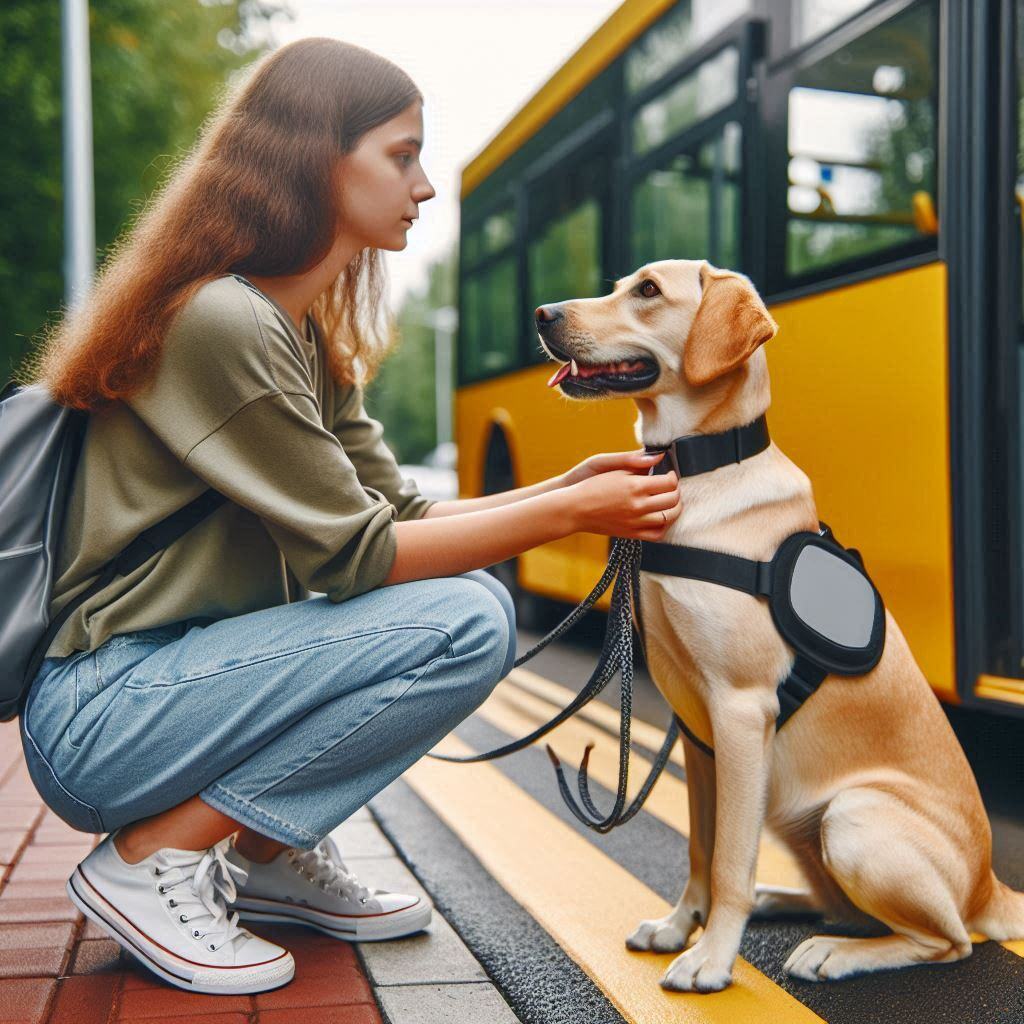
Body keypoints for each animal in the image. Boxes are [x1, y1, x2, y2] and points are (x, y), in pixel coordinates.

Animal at [532, 258, 1019, 991]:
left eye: (647, 290)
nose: (541, 314)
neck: (700, 469)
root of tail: (992, 885)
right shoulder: (696, 732)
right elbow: (702, 852)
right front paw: (679, 928)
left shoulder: (739, 712)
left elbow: (731, 859)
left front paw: (710, 960)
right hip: (803, 825)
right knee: (847, 908)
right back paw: (784, 905)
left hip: (852, 817)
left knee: (946, 940)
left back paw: (833, 954)